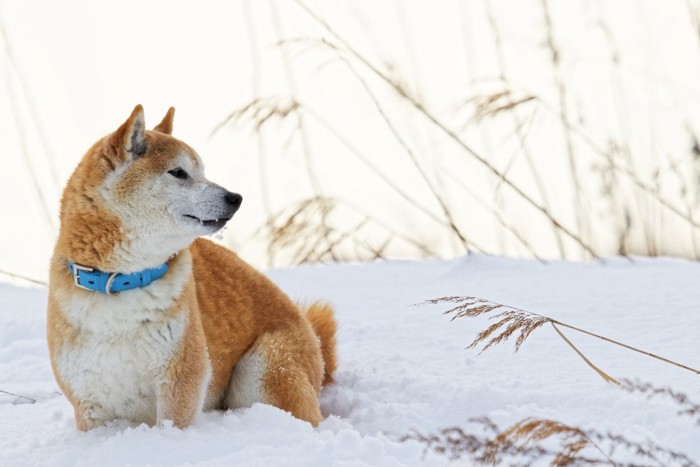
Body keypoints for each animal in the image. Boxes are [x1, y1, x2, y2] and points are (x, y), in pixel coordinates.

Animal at [46, 106, 336, 432]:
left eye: (202, 172)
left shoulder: (181, 379)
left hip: (264, 371)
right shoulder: (89, 403)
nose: (235, 197)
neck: (123, 281)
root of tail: (314, 340)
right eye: (178, 172)